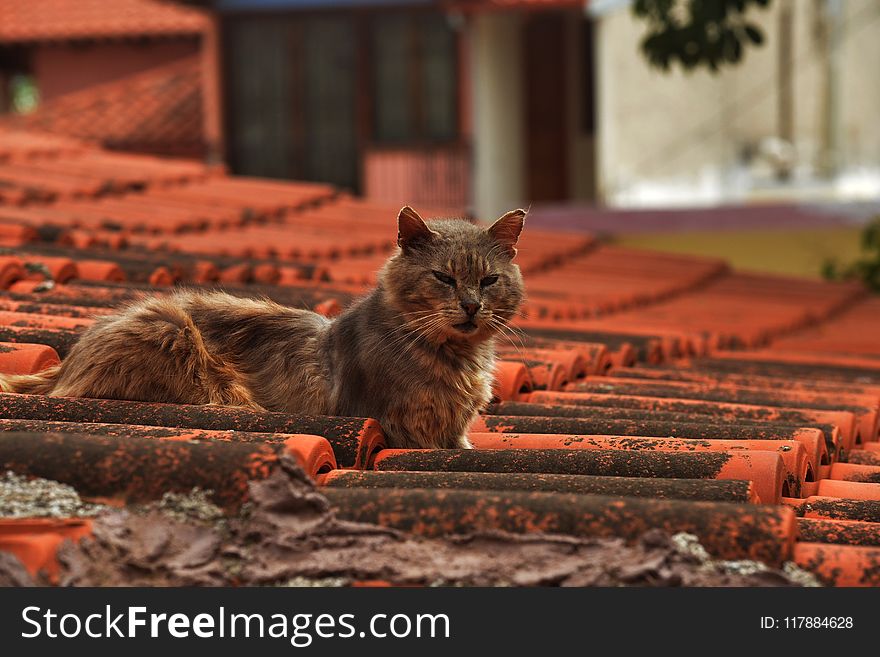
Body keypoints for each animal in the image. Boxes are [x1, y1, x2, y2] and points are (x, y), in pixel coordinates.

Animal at [1, 208, 524, 448]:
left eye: (489, 280)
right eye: (444, 278)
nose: (471, 306)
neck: (457, 360)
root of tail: (66, 361)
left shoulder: (454, 436)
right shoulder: (401, 427)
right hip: (178, 338)